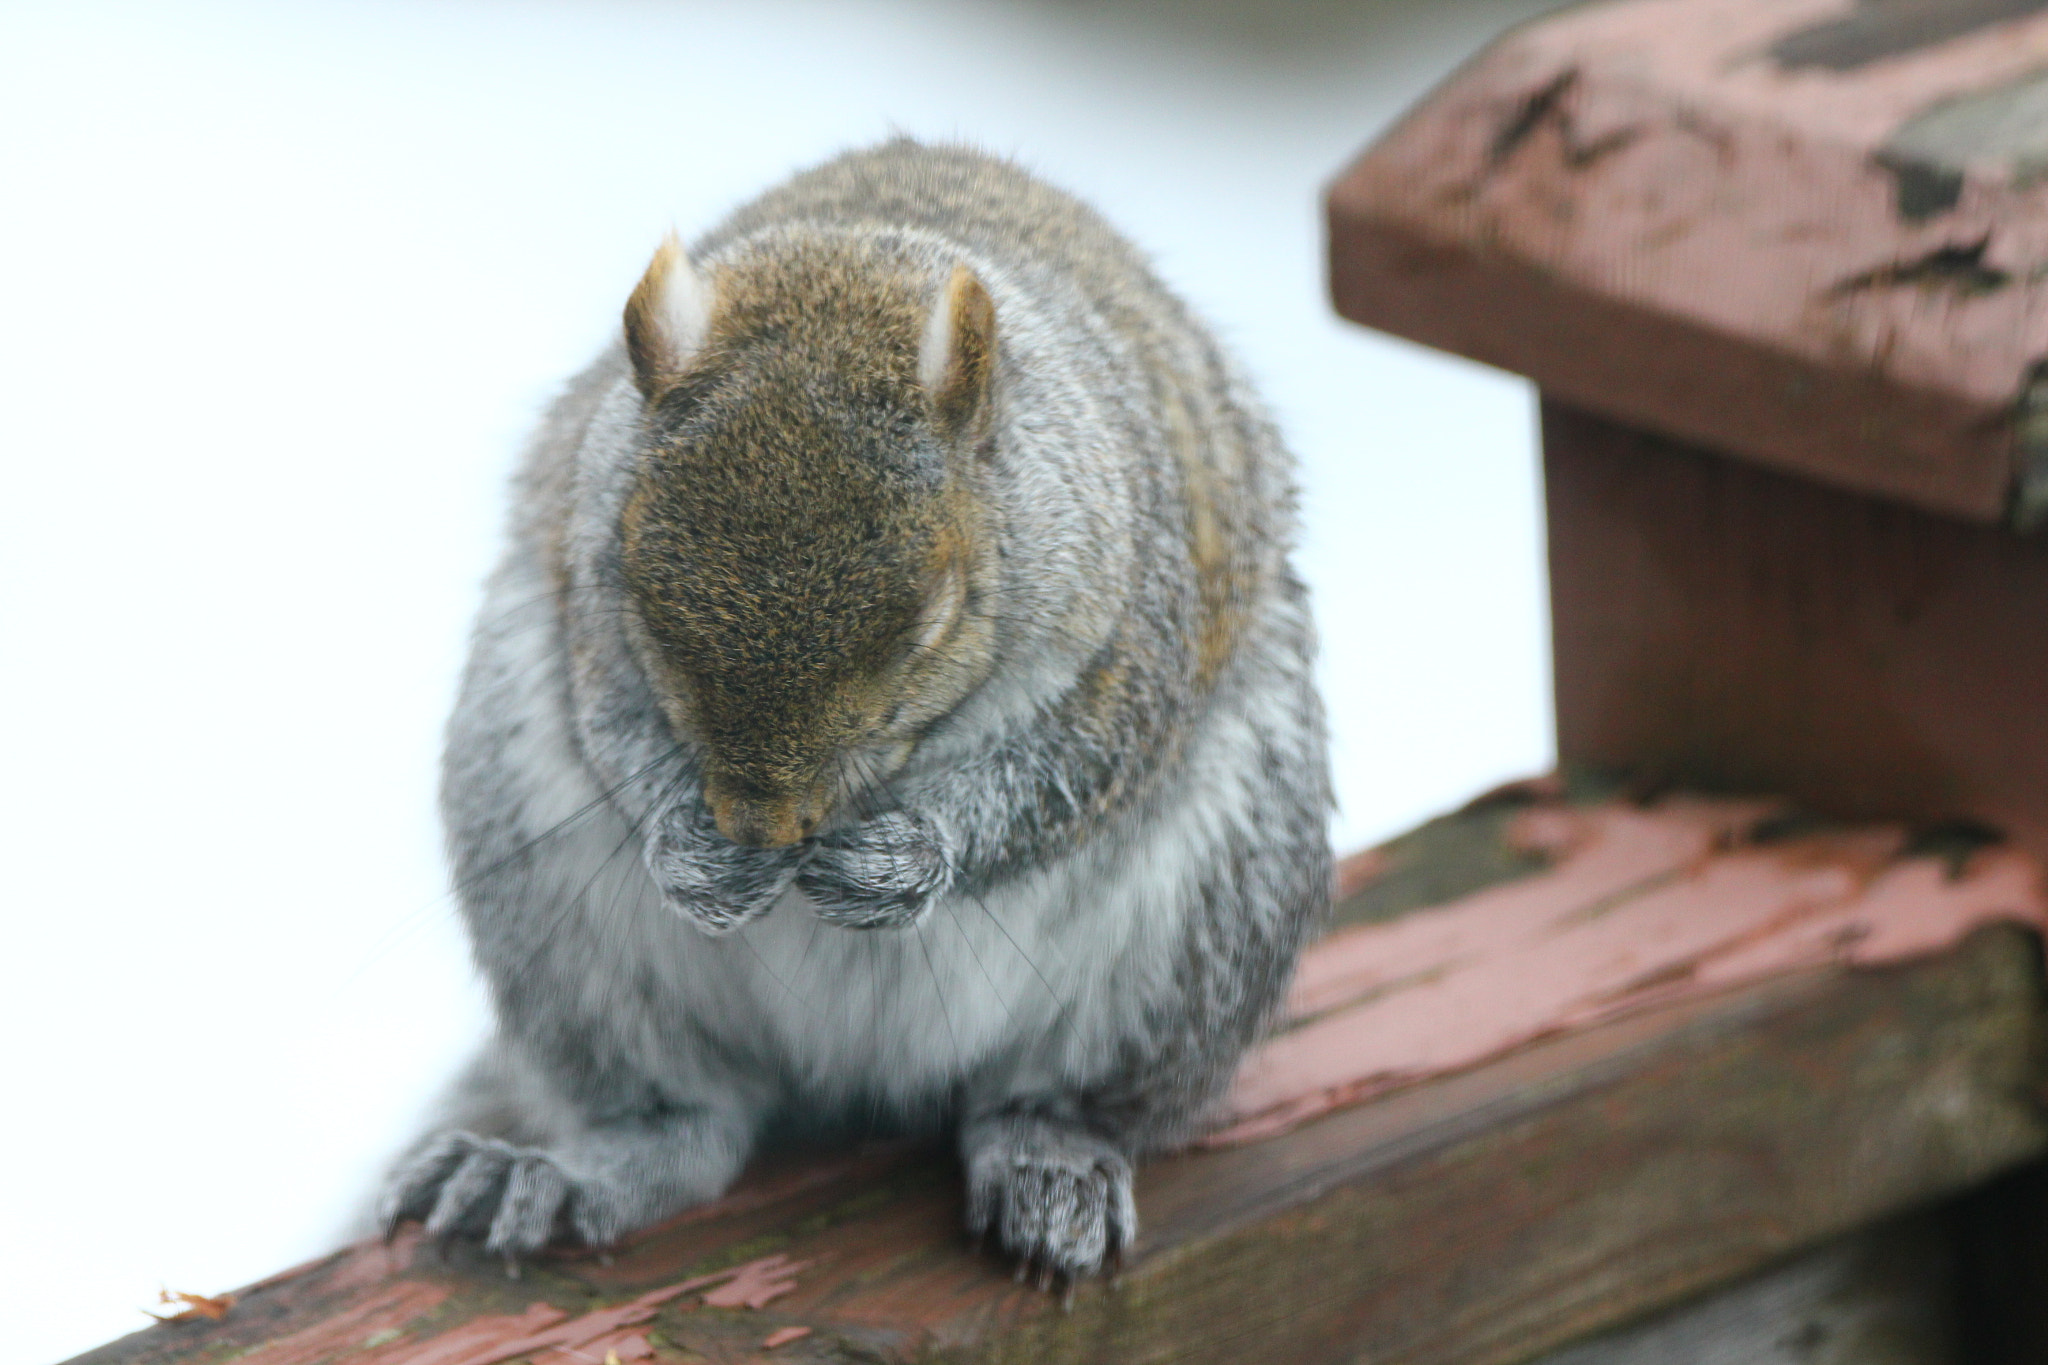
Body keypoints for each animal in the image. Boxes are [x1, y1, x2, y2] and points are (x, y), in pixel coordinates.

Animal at [378, 138, 1331, 1283]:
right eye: (642, 594)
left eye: (932, 616)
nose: (761, 826)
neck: (844, 270)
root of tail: (852, 1077)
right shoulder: (580, 577)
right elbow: (610, 719)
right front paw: (689, 852)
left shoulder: (1137, 621)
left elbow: (1079, 765)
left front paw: (909, 859)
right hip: (552, 914)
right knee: (684, 1123)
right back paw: (567, 1174)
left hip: (1206, 924)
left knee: (1064, 1098)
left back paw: (1049, 1159)